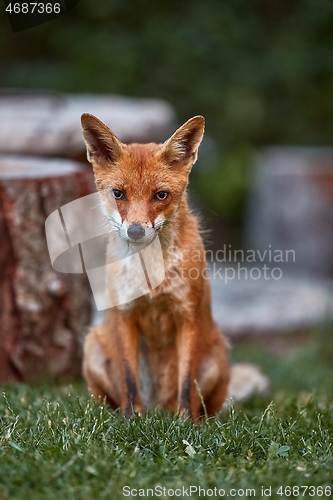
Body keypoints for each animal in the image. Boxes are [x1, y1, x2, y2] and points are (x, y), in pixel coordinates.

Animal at [79, 113, 260, 418]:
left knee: (204, 404)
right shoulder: (124, 315)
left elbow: (187, 383)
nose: (135, 231)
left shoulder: (187, 315)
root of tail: (158, 407)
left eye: (161, 195)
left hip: (216, 357)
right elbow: (129, 380)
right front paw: (132, 419)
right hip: (92, 348)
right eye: (118, 193)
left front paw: (185, 422)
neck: (151, 278)